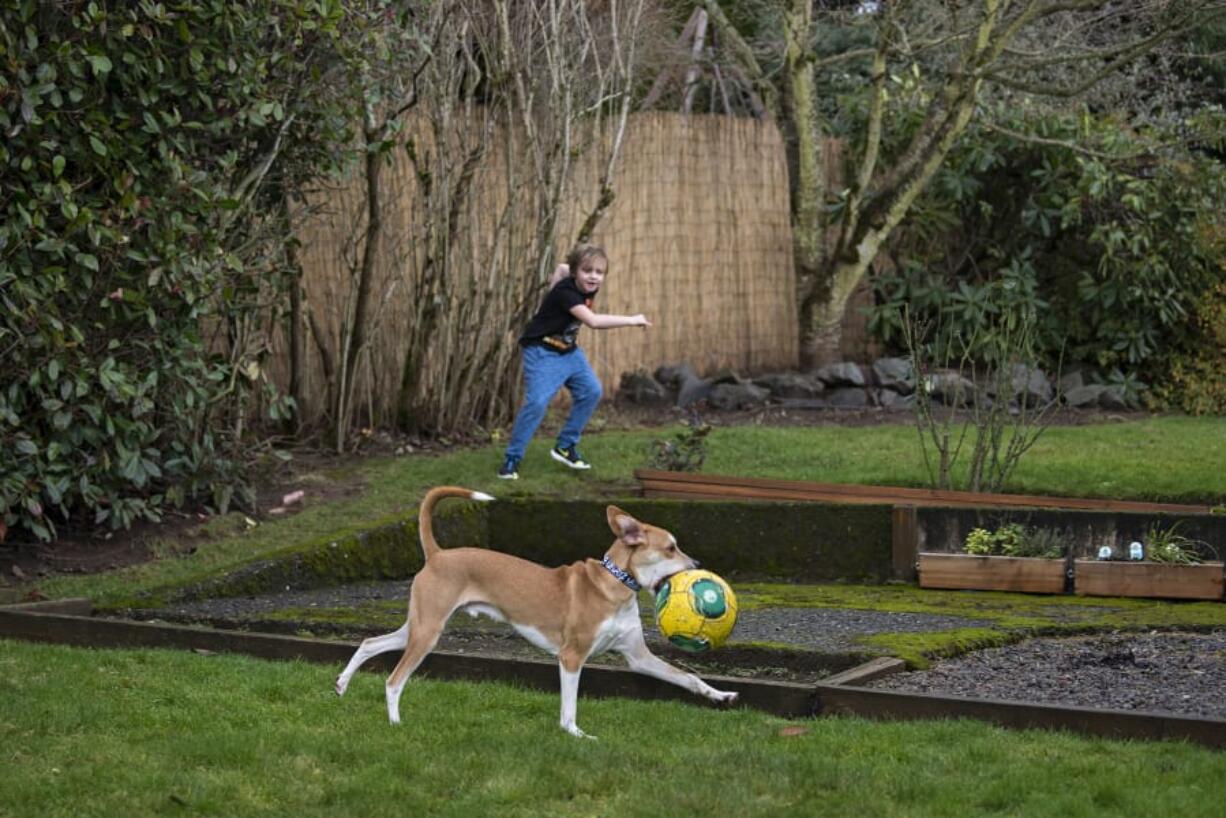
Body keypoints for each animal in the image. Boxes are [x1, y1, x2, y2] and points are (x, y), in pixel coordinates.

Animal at [333, 483, 735, 740]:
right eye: (670, 548)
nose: (697, 564)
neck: (614, 584)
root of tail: (437, 554)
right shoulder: (571, 657)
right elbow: (569, 708)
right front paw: (575, 735)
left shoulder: (638, 657)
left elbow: (687, 677)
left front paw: (720, 696)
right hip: (427, 632)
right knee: (394, 680)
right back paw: (395, 724)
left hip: (418, 627)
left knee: (370, 643)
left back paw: (342, 684)